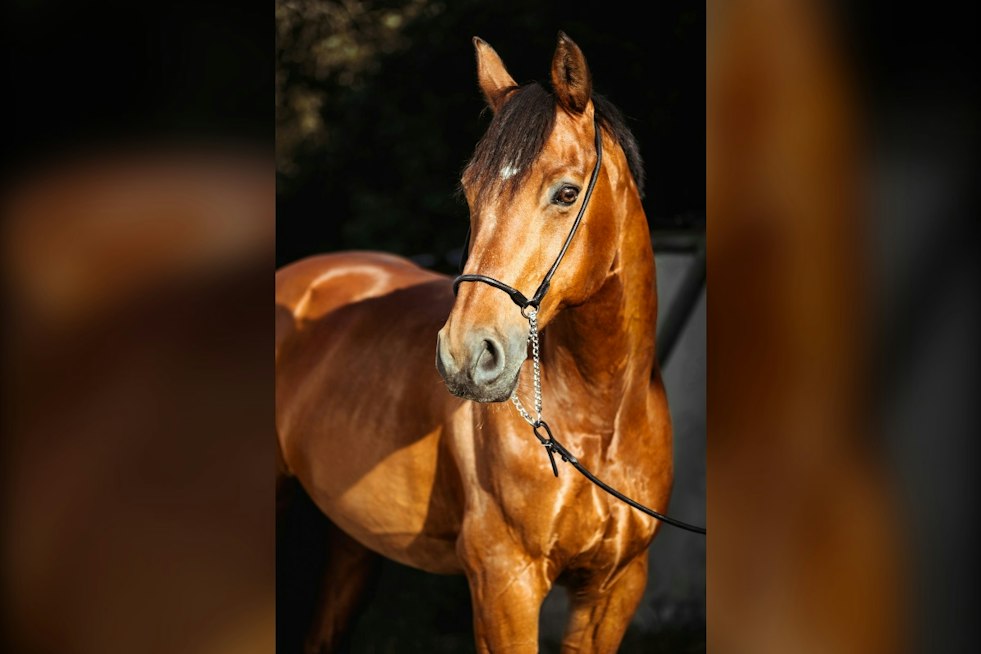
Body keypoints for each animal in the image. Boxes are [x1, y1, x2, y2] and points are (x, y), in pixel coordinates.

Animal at [276, 33, 673, 653]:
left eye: (565, 193)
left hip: (350, 541)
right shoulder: (504, 583)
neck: (598, 419)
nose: (464, 356)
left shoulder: (615, 588)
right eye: (470, 193)